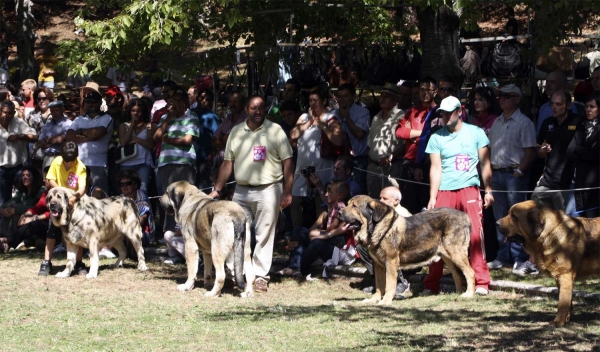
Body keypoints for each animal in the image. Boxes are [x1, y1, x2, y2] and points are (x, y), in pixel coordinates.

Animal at [338, 195, 474, 306]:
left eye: (354, 206)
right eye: (348, 204)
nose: (338, 212)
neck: (376, 228)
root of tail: (465, 216)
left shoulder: (391, 262)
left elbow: (389, 284)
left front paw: (386, 301)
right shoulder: (378, 265)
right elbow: (379, 285)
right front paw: (374, 300)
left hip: (456, 254)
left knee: (470, 273)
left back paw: (469, 294)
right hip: (448, 257)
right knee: (457, 275)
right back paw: (457, 293)